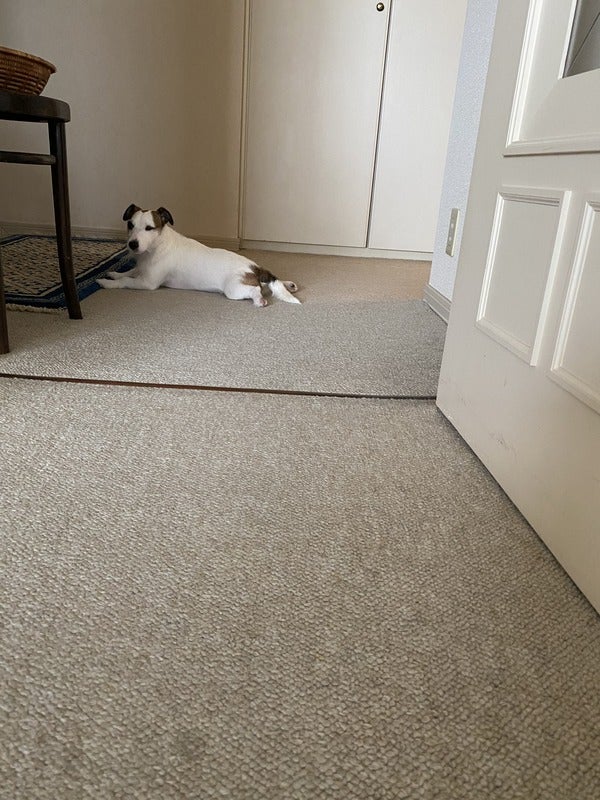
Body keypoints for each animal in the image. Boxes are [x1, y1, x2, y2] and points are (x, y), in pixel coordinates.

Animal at [97, 204, 301, 307]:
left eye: (149, 228)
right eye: (130, 225)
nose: (132, 244)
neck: (155, 247)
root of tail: (253, 267)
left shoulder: (148, 283)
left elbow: (126, 281)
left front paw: (106, 282)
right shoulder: (142, 269)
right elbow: (129, 272)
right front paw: (114, 273)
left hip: (234, 289)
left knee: (256, 290)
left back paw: (259, 300)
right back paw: (288, 284)